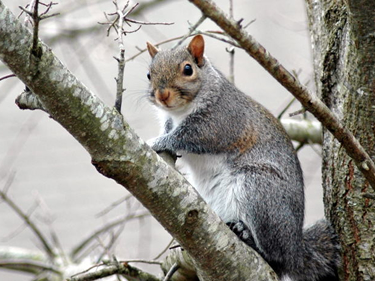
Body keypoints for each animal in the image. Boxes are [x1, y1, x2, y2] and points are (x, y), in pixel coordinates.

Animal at [145, 35, 342, 280]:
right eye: (149, 74)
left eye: (188, 69)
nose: (162, 95)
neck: (180, 111)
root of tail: (296, 250)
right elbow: (169, 129)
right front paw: (162, 139)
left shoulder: (221, 122)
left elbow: (188, 136)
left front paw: (156, 142)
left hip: (258, 190)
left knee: (276, 257)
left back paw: (248, 237)